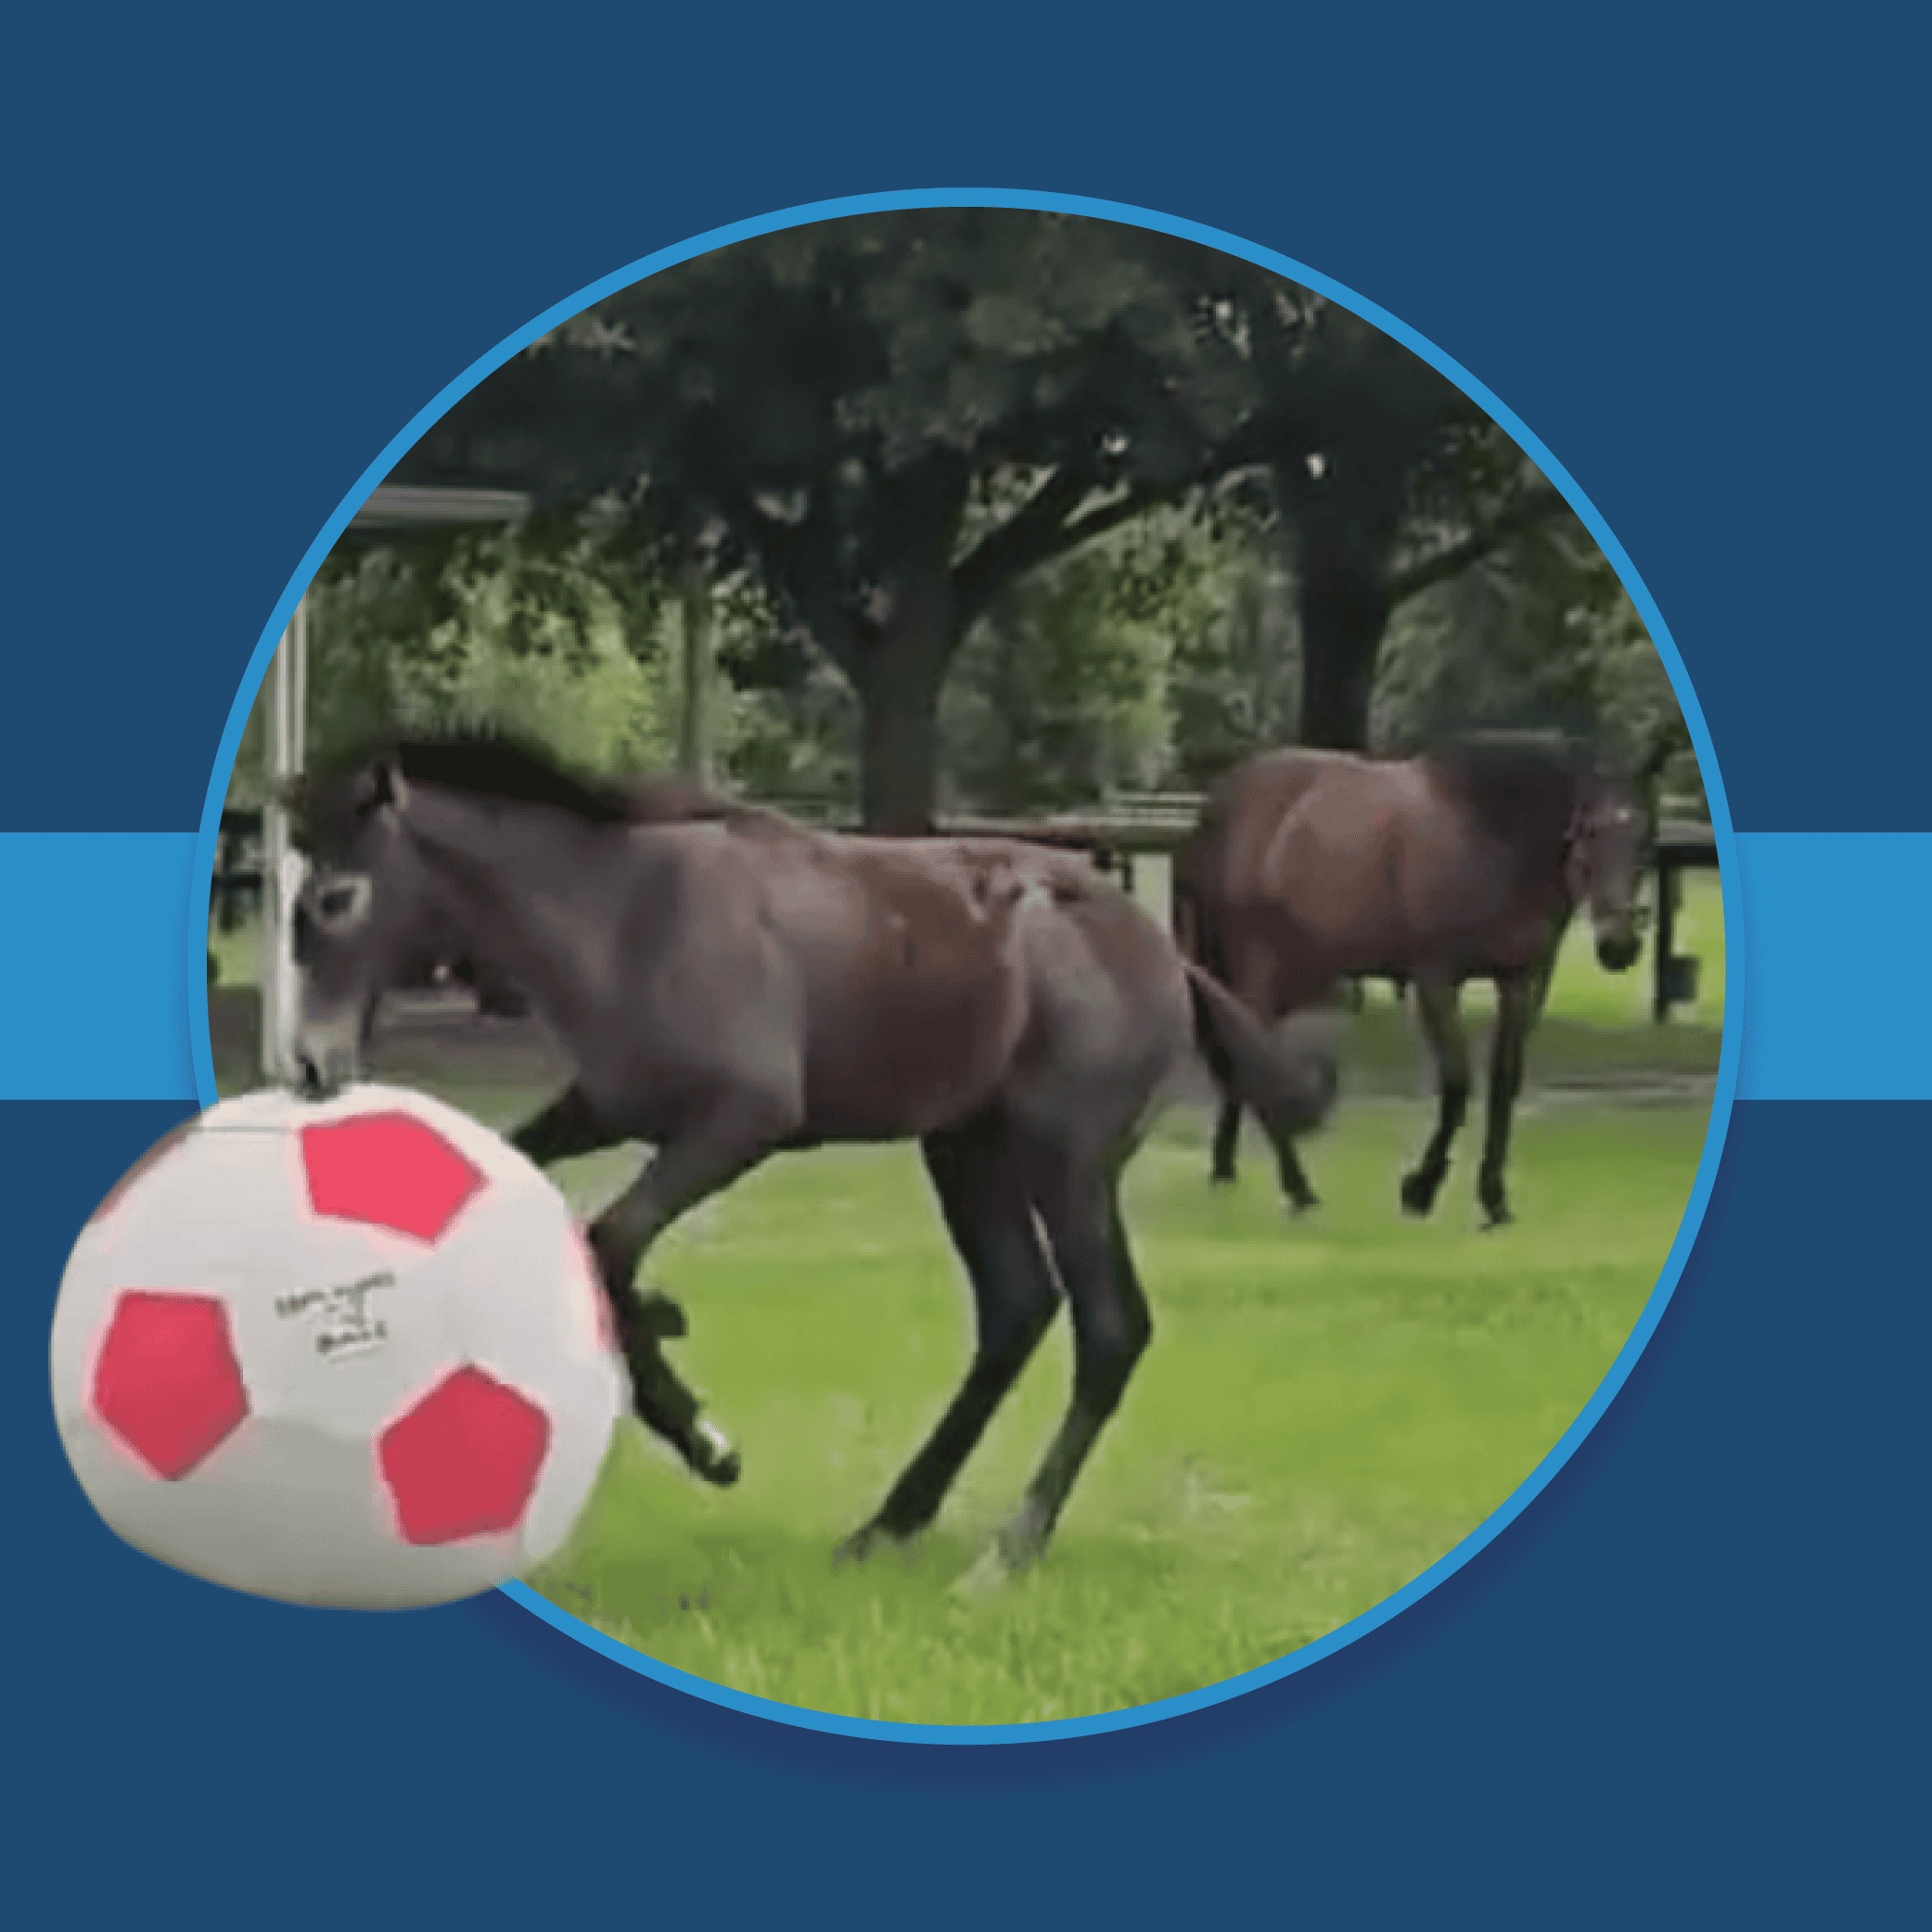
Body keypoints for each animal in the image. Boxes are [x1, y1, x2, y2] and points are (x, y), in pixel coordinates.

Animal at [285, 737, 1337, 1577]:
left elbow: (610, 1240)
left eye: (336, 898)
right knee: (1015, 1308)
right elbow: (543, 1195)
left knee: (1108, 1329)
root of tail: (1165, 953)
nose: (308, 1064)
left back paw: (1009, 1549)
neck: (623, 914)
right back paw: (889, 1523)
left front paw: (705, 1434)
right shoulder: (605, 1106)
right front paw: (661, 1334)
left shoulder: (739, 1118)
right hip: (967, 1150)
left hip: (1064, 1158)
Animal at [1173, 731, 1647, 1228]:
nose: (1620, 946)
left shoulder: (1519, 984)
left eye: (1644, 837)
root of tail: (1212, 812)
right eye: (1589, 832)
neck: (1489, 838)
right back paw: (1298, 1190)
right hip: (1261, 967)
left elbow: (1503, 1086)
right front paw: (1421, 1189)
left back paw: (1227, 1170)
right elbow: (1456, 1084)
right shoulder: (1437, 982)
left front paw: (1493, 1199)